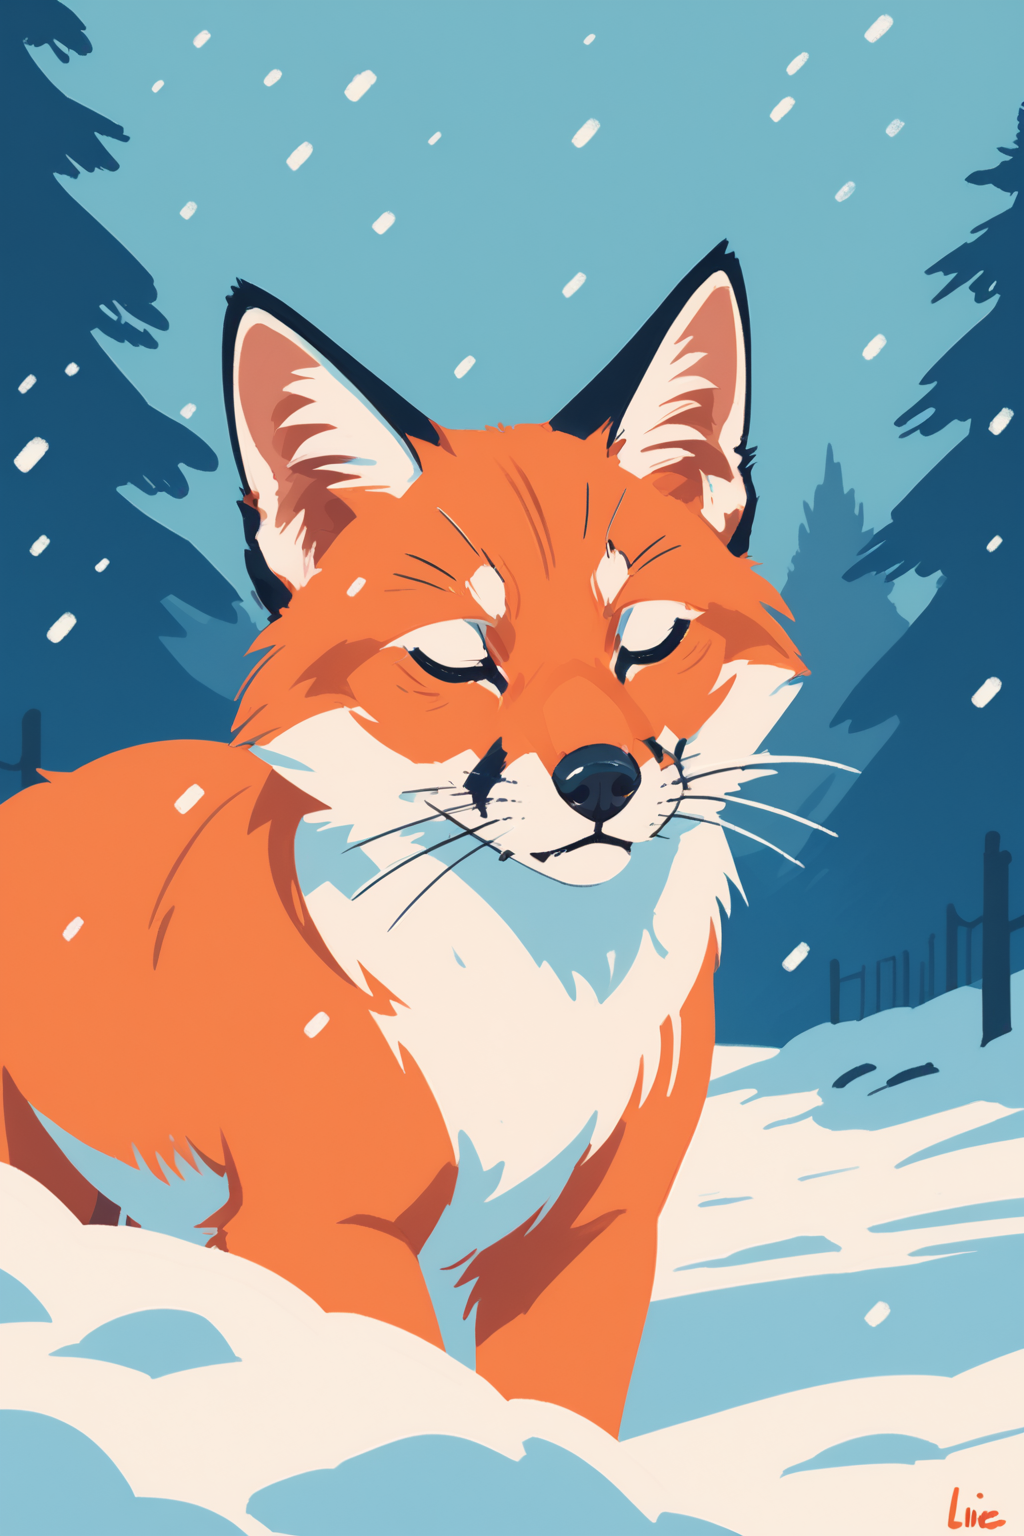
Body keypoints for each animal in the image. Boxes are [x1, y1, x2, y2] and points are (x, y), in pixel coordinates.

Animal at [0, 242, 805, 1437]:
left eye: (649, 637)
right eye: (457, 658)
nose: (601, 780)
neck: (536, 1004)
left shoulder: (585, 1240)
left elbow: (563, 1417)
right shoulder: (326, 1228)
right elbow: (408, 1399)